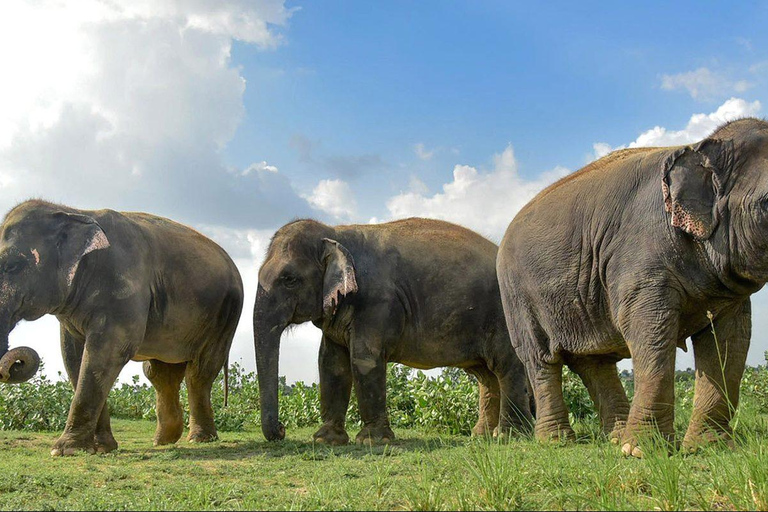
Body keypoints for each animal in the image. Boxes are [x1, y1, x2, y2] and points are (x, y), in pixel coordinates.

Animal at [0, 200, 243, 455]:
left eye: (13, 266)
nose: (14, 364)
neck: (73, 212)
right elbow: (73, 356)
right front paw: (102, 448)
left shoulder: (123, 285)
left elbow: (107, 352)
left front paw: (65, 450)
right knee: (160, 373)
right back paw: (163, 440)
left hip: (224, 316)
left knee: (199, 372)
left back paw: (198, 438)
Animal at [254, 217, 533, 445]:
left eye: (289, 279)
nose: (282, 430)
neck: (335, 233)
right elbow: (331, 364)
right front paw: (326, 440)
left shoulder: (377, 302)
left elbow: (364, 358)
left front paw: (373, 441)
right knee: (486, 375)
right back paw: (483, 435)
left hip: (504, 314)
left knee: (506, 365)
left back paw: (509, 436)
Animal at [496, 118, 768, 457]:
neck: (697, 147)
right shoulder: (639, 260)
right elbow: (648, 325)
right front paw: (642, 452)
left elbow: (730, 339)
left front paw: (709, 447)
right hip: (517, 298)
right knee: (541, 360)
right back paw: (557, 441)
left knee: (595, 362)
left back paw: (614, 437)